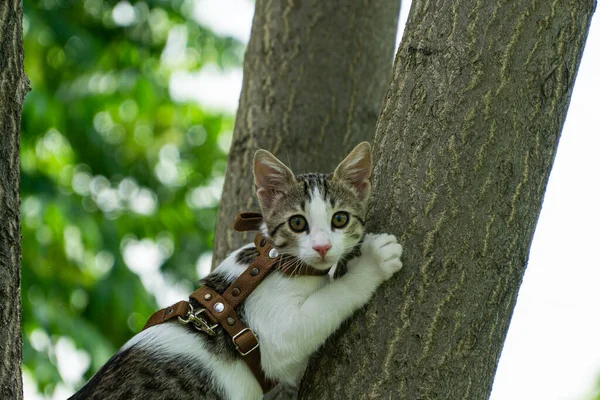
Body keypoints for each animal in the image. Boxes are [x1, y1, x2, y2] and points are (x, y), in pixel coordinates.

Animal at [70, 142, 404, 400]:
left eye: (340, 219)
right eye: (297, 223)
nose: (322, 247)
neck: (273, 263)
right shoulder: (276, 335)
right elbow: (331, 300)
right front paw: (373, 262)